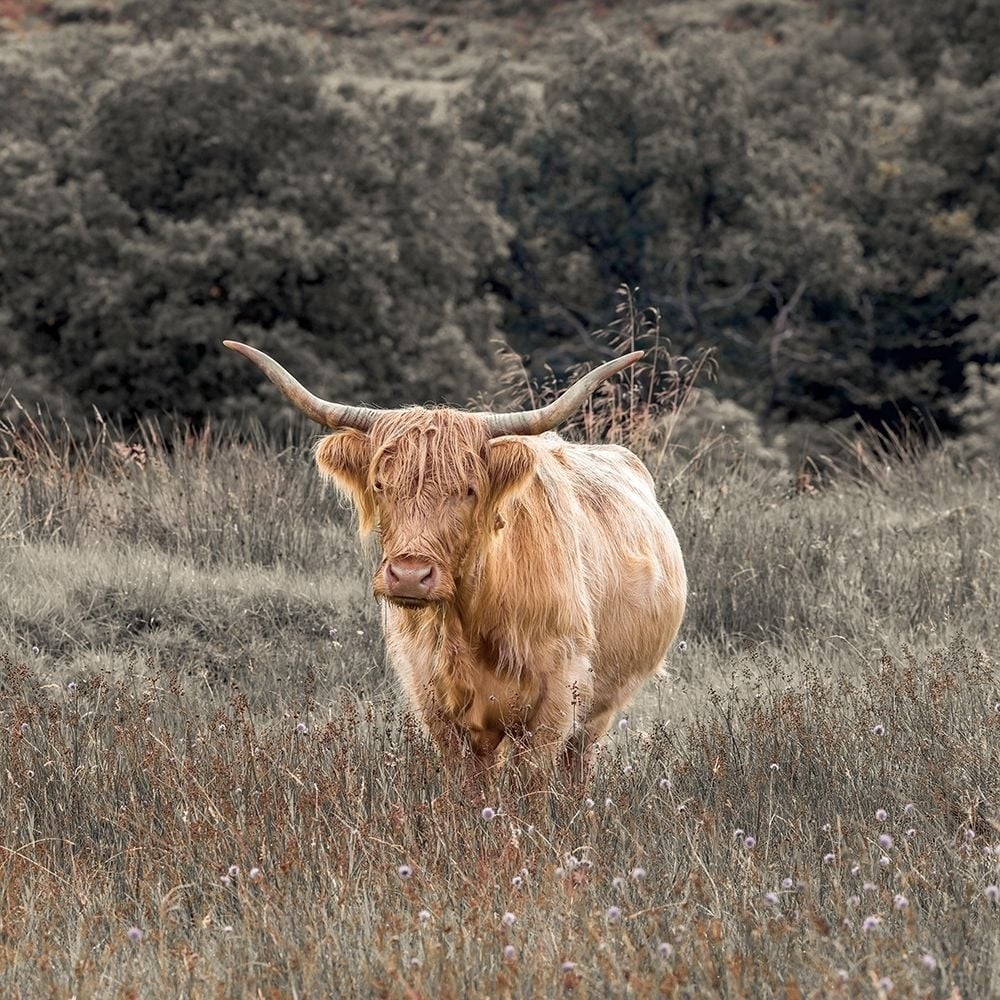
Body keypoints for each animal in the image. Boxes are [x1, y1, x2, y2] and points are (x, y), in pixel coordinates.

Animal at [225, 342, 688, 772]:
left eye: (468, 490)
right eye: (380, 485)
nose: (410, 575)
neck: (470, 621)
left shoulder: (558, 697)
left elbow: (530, 784)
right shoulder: (434, 700)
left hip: (600, 707)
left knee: (578, 762)